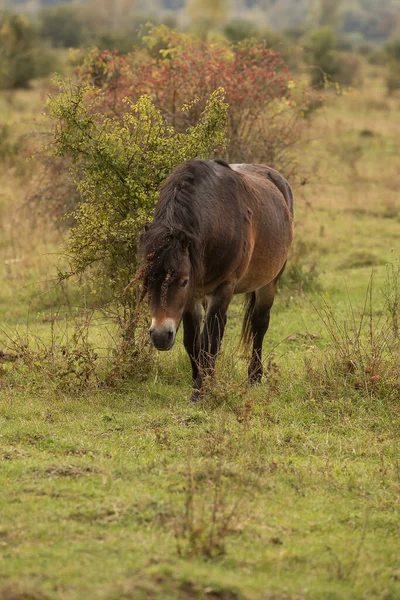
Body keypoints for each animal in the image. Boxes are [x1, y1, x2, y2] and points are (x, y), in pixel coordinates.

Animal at [139, 159, 292, 404]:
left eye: (183, 281)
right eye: (146, 280)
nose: (161, 336)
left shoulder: (221, 289)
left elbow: (211, 341)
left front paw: (200, 391)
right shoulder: (193, 296)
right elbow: (193, 341)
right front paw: (200, 380)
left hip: (268, 283)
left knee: (259, 324)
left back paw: (254, 376)